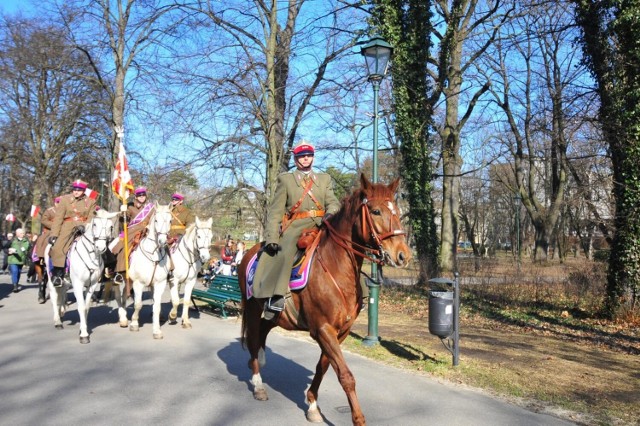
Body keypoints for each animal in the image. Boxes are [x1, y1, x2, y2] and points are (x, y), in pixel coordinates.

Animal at [69, 211, 120, 344]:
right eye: (95, 224)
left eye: (111, 227)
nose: (100, 248)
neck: (91, 256)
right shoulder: (78, 284)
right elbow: (81, 307)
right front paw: (84, 335)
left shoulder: (92, 285)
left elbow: (86, 307)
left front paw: (83, 330)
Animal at [126, 203, 172, 340]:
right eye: (156, 220)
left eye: (170, 220)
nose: (162, 241)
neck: (153, 256)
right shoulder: (138, 283)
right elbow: (138, 304)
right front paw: (134, 323)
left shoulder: (159, 284)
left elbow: (157, 306)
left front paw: (156, 330)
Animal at [238, 175, 412, 424]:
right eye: (376, 211)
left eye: (397, 210)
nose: (403, 255)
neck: (336, 267)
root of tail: (250, 252)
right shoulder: (323, 329)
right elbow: (346, 376)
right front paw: (358, 418)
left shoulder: (340, 332)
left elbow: (324, 367)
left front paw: (312, 404)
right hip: (252, 308)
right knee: (253, 338)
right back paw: (258, 383)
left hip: (277, 316)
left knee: (262, 332)